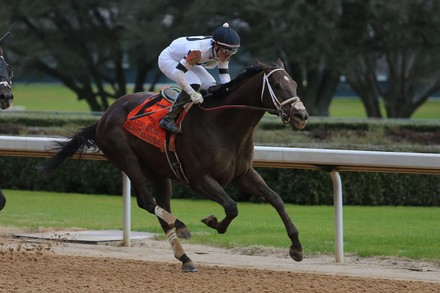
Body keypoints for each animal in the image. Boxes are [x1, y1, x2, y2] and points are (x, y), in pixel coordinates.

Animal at [41, 58, 310, 270]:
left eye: (295, 84)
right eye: (277, 85)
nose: (301, 116)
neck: (223, 125)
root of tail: (104, 116)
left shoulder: (242, 174)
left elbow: (275, 198)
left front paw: (296, 247)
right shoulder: (200, 179)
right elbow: (232, 207)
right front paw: (212, 222)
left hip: (158, 171)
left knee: (157, 205)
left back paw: (185, 257)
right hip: (126, 158)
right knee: (148, 202)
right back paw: (180, 227)